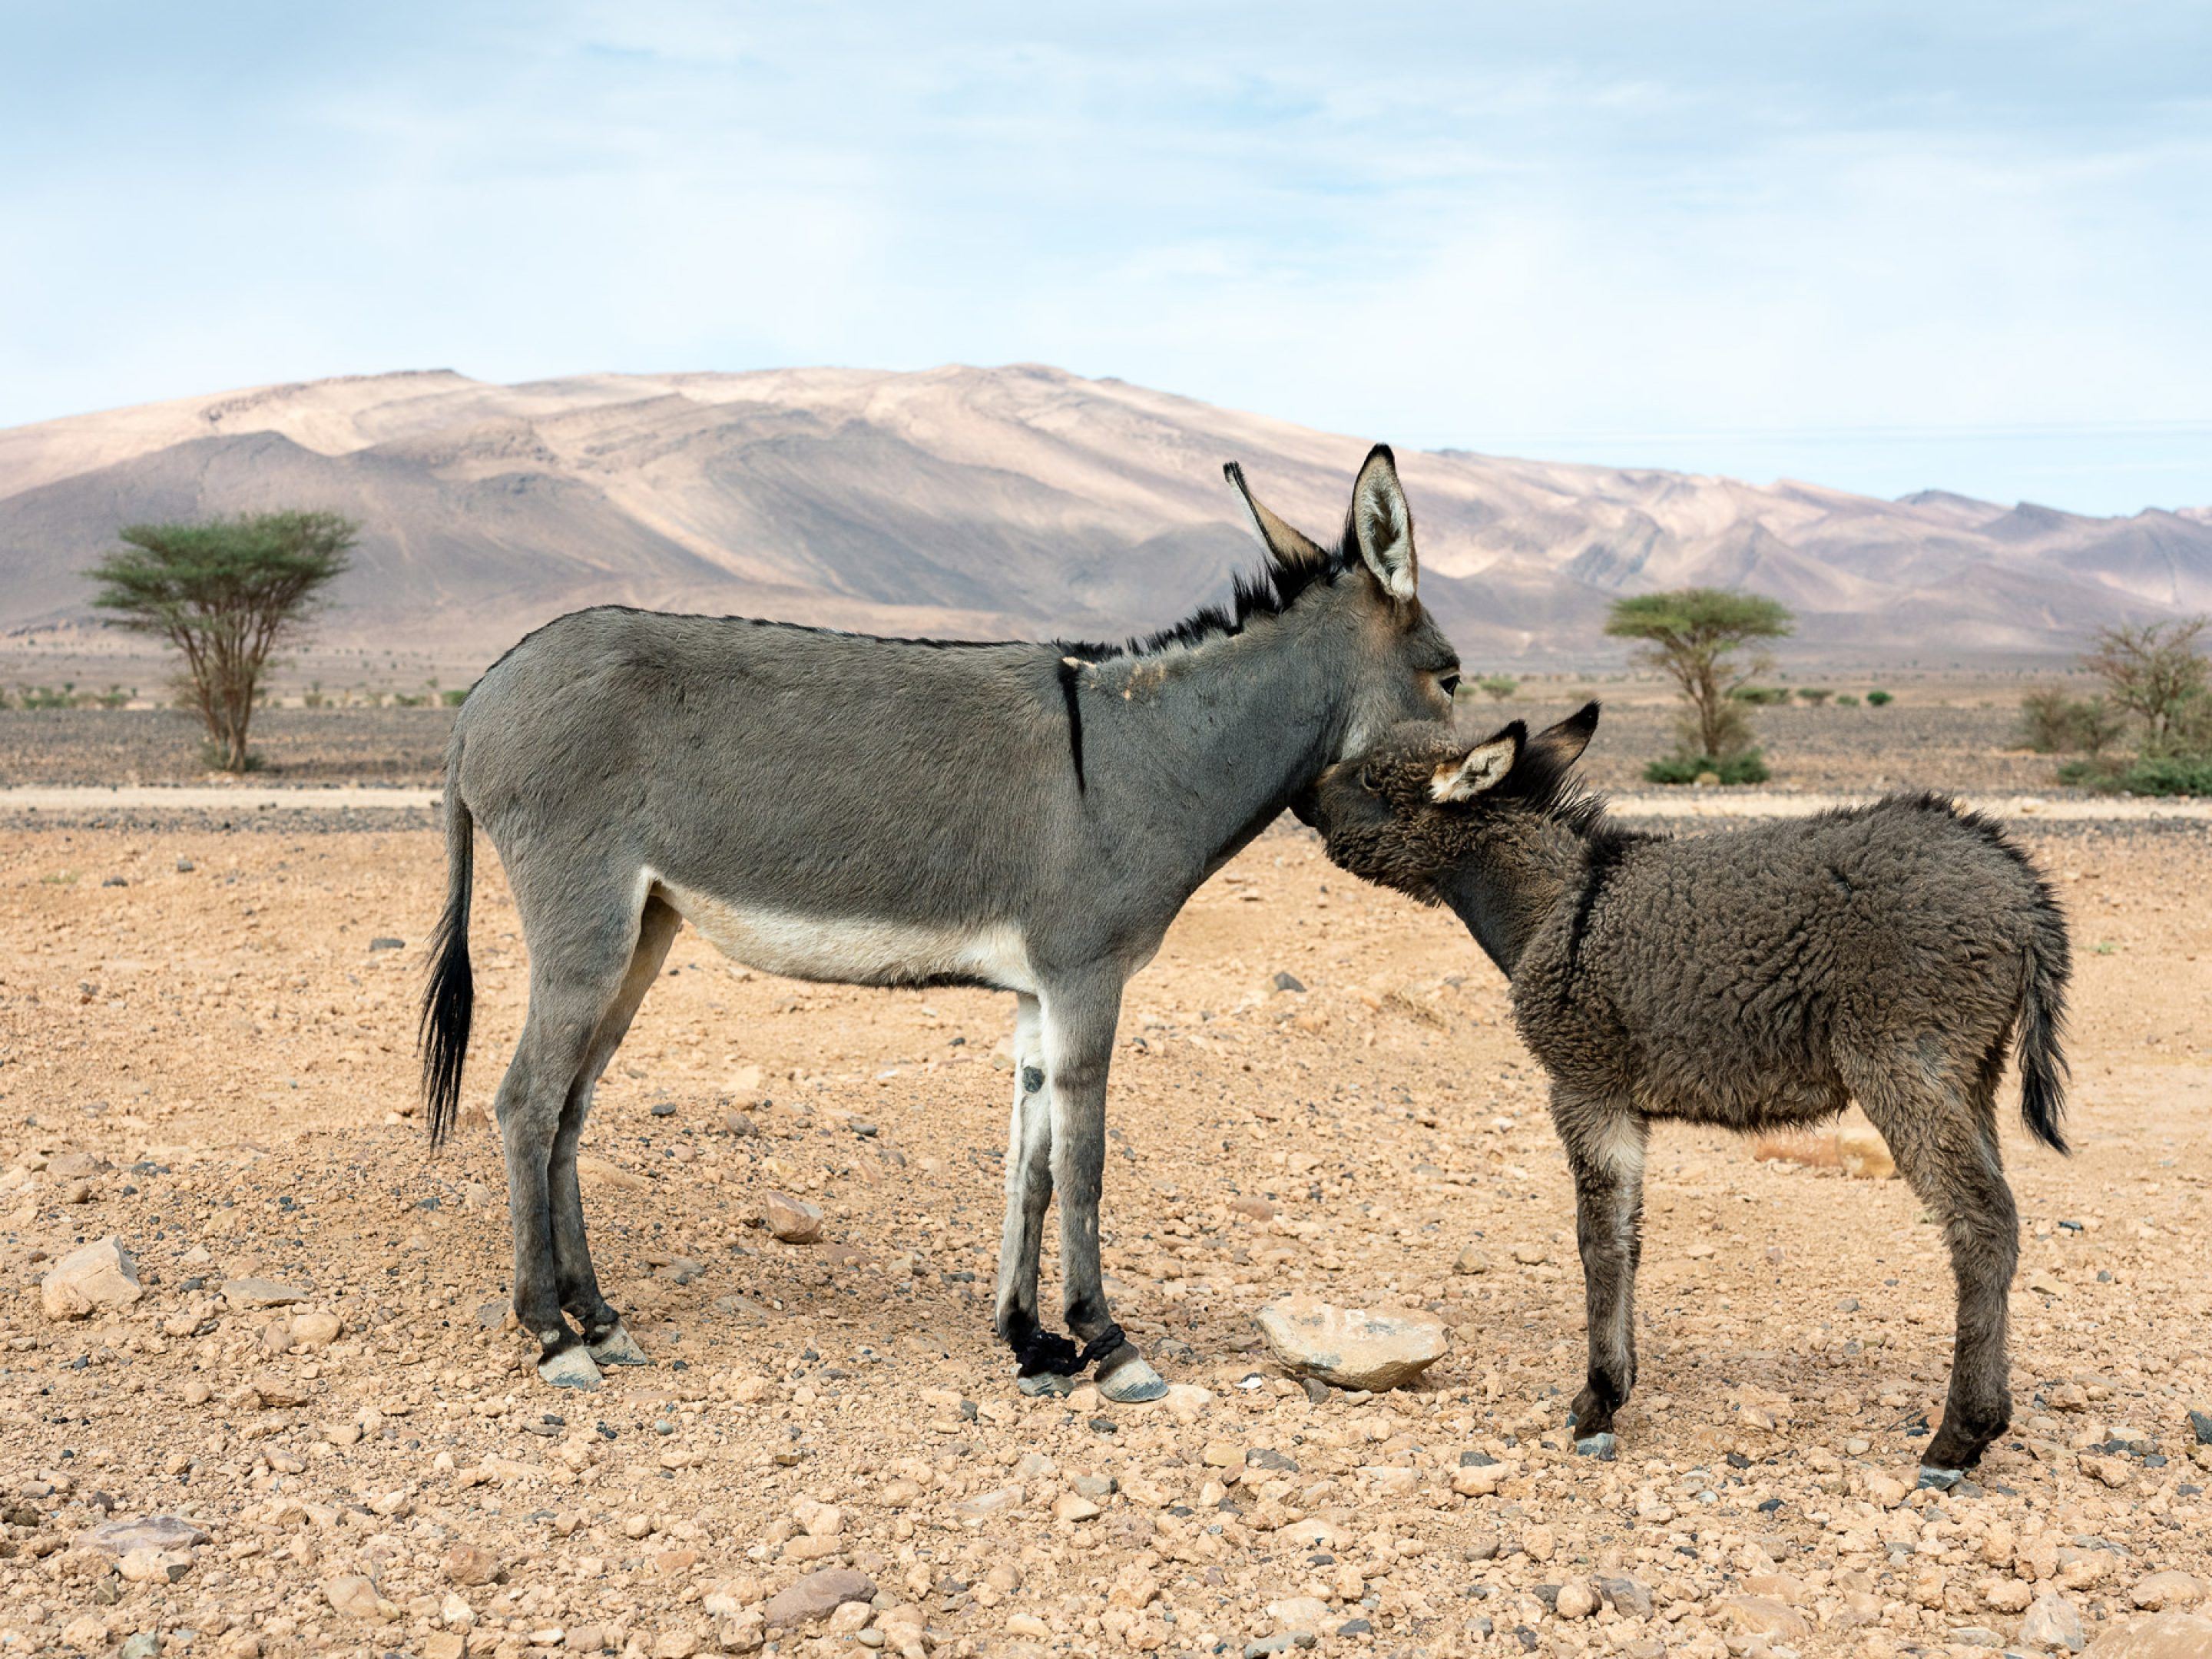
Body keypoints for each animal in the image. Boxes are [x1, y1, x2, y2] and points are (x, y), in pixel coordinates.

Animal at [1300, 707, 2061, 1486]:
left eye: (1371, 778)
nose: (1301, 794)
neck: (1556, 904)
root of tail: (2020, 886)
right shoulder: (1623, 1106)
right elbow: (1631, 1238)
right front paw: (1618, 1381)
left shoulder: (1586, 1087)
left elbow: (1599, 1241)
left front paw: (1599, 1400)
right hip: (1972, 1075)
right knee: (2000, 1217)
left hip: (1905, 1064)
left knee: (1981, 1221)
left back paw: (1958, 1437)